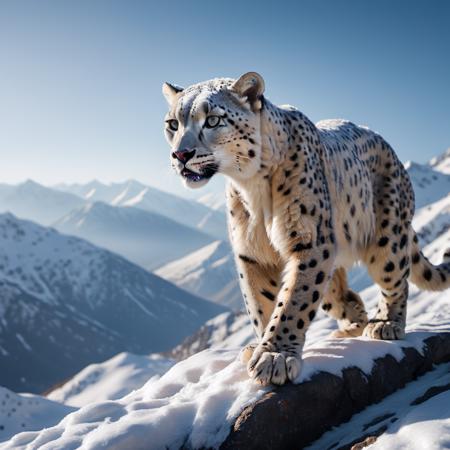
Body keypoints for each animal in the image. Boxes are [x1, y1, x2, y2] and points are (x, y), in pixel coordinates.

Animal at [162, 72, 450, 384]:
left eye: (213, 120)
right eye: (173, 124)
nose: (181, 154)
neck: (251, 186)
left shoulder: (309, 241)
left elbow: (294, 300)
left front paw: (275, 356)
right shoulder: (251, 252)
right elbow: (260, 303)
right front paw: (260, 347)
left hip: (387, 235)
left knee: (396, 277)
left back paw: (386, 323)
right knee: (345, 296)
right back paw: (347, 329)